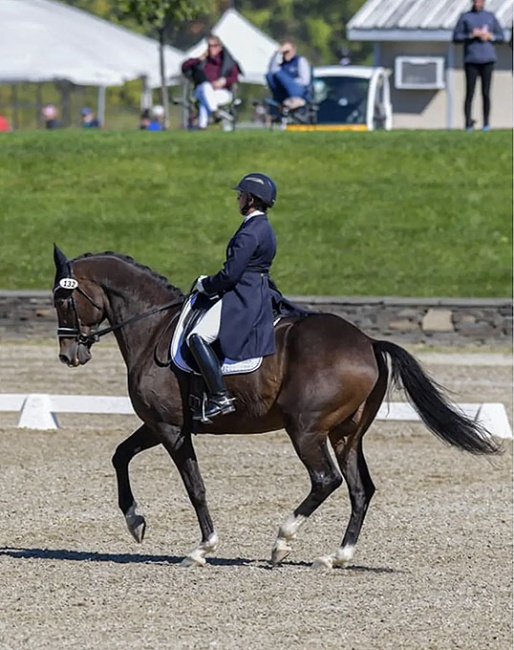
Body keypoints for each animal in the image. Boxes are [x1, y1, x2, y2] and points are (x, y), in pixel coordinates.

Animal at [52, 247, 500, 568]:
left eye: (63, 298)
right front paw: (136, 522)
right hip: (346, 434)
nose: (69, 355)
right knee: (360, 488)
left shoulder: (170, 427)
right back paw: (336, 557)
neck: (153, 328)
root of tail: (369, 342)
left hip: (306, 429)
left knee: (326, 480)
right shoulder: (159, 424)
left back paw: (282, 542)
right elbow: (120, 454)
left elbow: (194, 485)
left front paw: (202, 548)